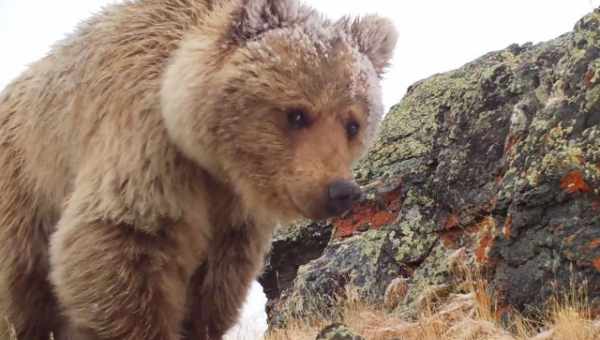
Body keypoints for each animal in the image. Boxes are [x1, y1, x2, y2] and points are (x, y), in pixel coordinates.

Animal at [0, 0, 398, 340]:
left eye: (352, 124)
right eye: (297, 113)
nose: (341, 190)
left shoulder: (233, 210)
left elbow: (217, 282)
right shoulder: (146, 147)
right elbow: (120, 239)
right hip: (25, 188)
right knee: (21, 285)